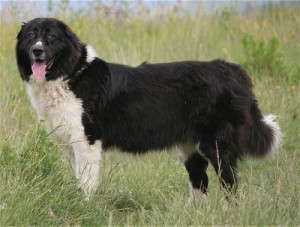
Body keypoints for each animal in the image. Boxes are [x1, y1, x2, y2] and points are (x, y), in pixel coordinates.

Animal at [15, 18, 282, 200]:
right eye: (31, 36)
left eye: (51, 37)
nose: (37, 50)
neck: (69, 75)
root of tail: (233, 70)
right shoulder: (70, 144)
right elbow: (79, 177)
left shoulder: (86, 141)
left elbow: (86, 182)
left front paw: (84, 205)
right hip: (190, 146)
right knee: (200, 184)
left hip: (216, 145)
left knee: (230, 184)